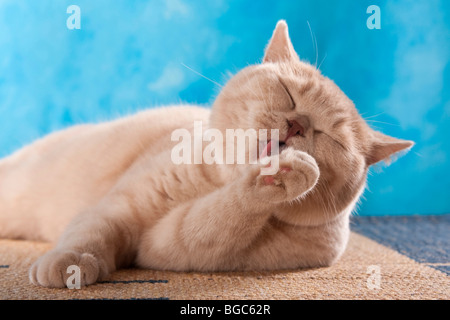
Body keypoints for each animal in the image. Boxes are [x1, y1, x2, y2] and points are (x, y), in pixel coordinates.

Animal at [0, 21, 414, 288]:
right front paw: (69, 264)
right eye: (288, 93)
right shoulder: (116, 210)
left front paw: (280, 178)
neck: (213, 182)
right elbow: (88, 236)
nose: (297, 124)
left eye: (332, 137)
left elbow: (214, 219)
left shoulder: (165, 245)